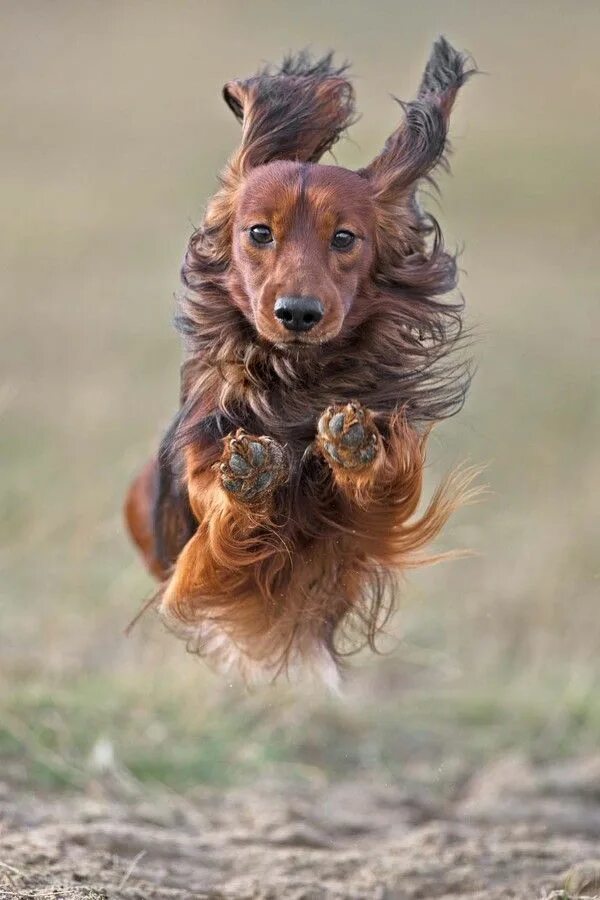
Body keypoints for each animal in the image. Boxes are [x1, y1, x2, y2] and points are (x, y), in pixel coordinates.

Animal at [124, 33, 476, 684]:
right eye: (259, 232)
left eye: (345, 237)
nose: (298, 313)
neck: (295, 382)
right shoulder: (199, 530)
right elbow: (221, 512)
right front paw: (249, 478)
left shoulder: (362, 529)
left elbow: (379, 483)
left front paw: (357, 448)